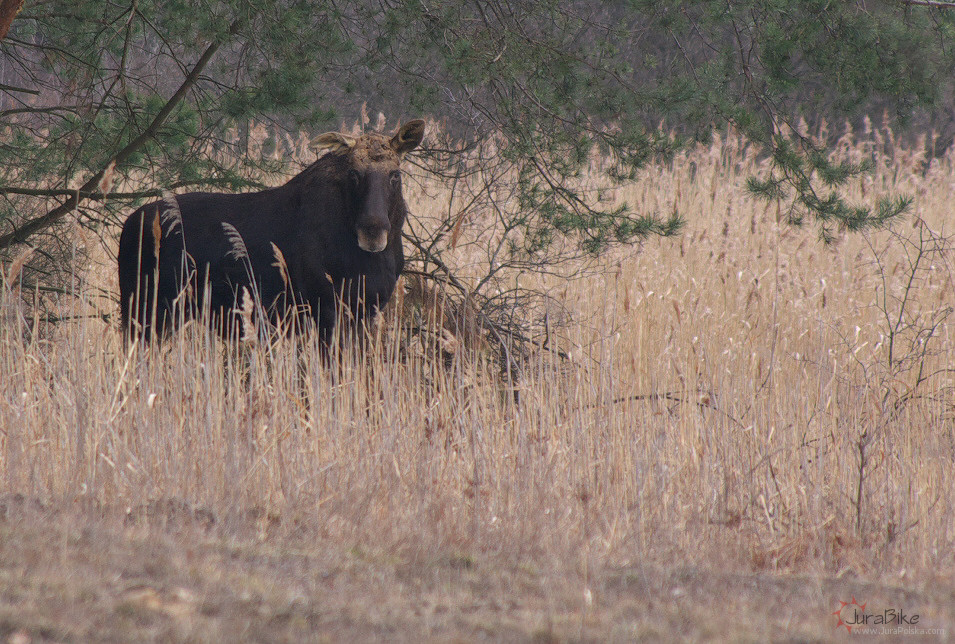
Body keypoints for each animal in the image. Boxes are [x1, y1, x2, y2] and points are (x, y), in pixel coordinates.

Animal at [117, 118, 424, 344]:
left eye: (395, 174)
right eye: (353, 174)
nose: (372, 231)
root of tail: (128, 225)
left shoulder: (365, 311)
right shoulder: (323, 308)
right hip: (145, 309)